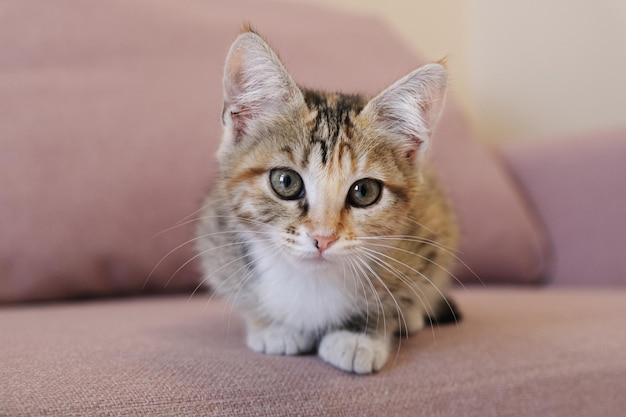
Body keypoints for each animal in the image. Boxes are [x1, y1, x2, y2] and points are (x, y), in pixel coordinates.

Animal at [195, 27, 458, 374]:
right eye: (286, 182)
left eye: (364, 192)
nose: (324, 237)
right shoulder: (217, 238)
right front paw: (271, 326)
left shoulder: (426, 233)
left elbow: (395, 296)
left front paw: (360, 335)